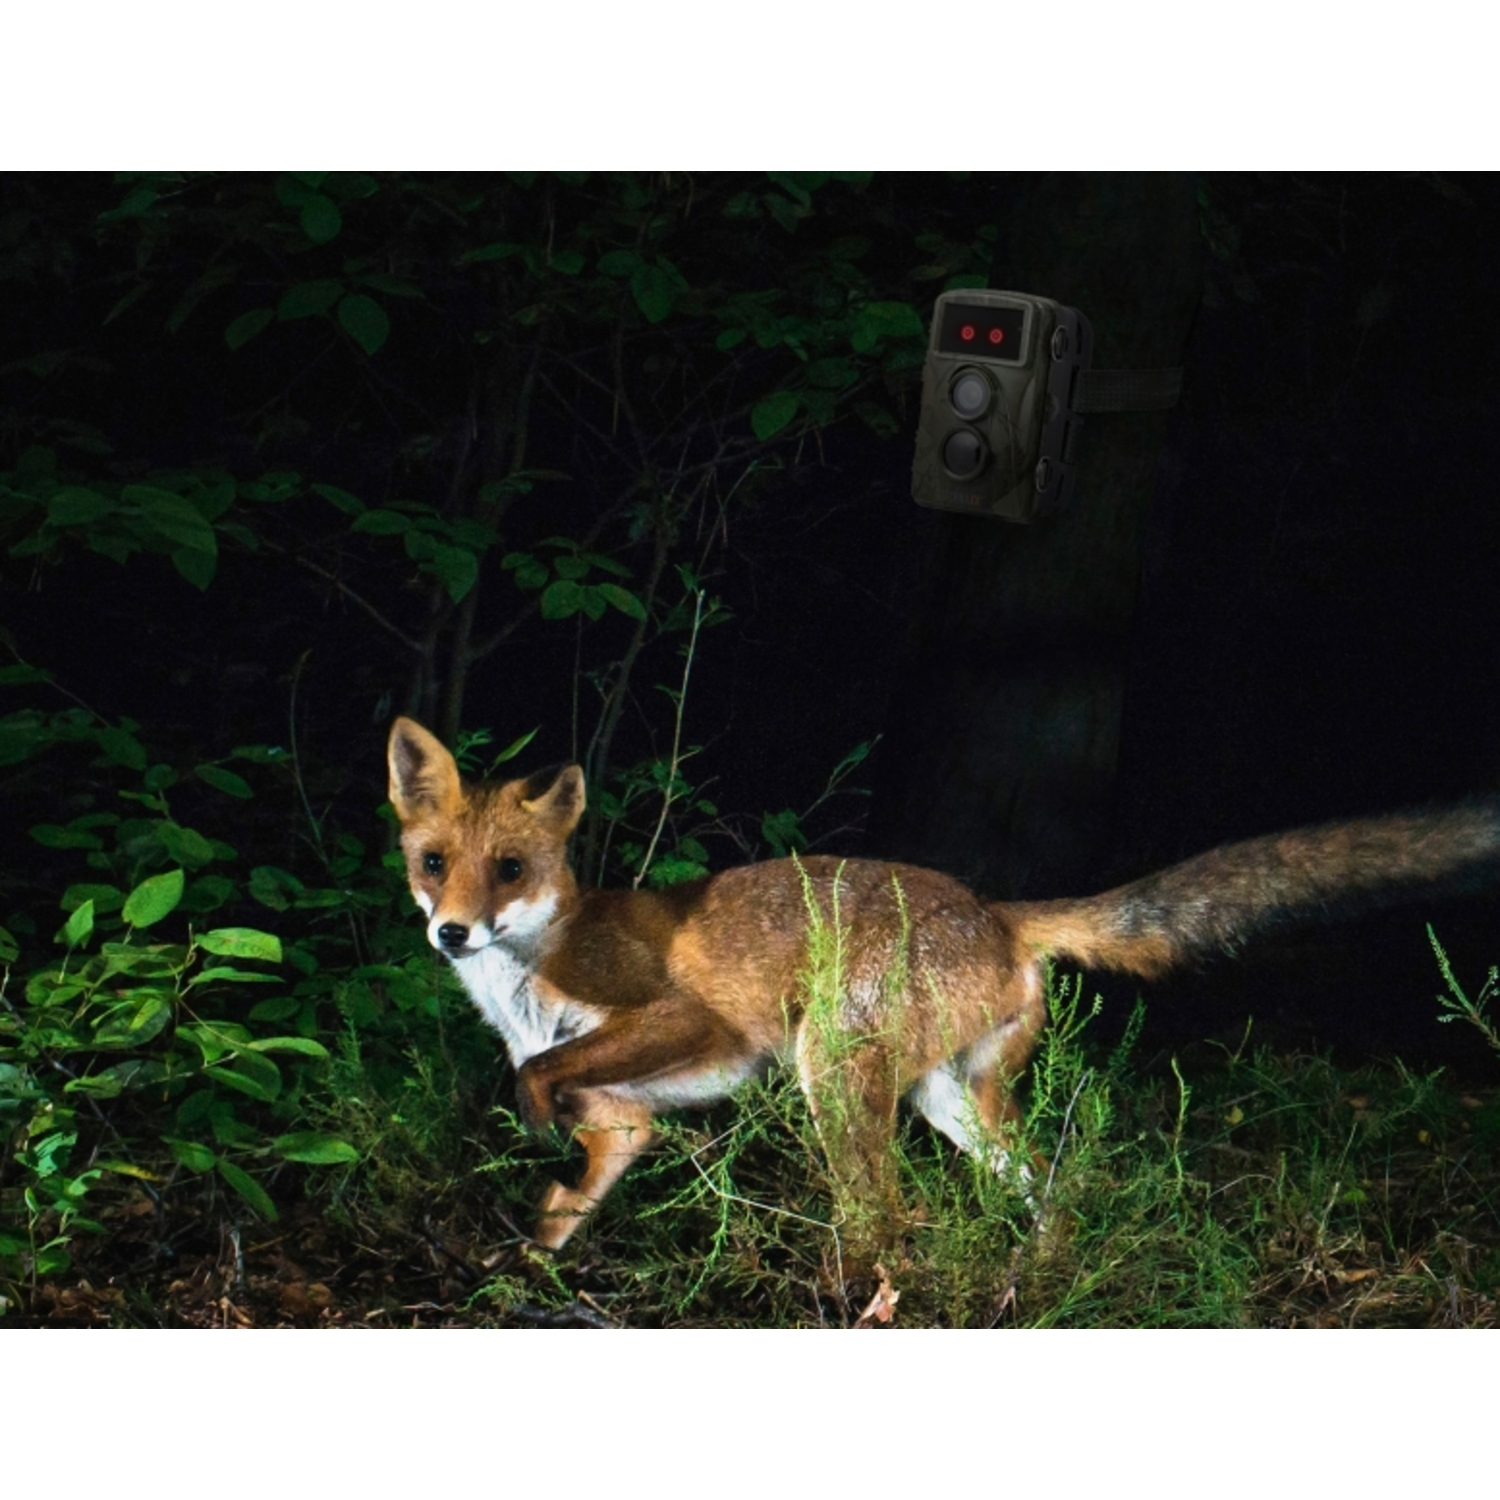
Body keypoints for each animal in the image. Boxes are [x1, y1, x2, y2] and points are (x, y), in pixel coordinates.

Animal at [387, 715, 1500, 1254]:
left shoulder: (686, 1018)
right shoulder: (624, 1124)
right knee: (1057, 1186)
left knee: (889, 1220)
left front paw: (528, 1116)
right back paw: (1036, 1282)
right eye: (435, 862)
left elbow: (540, 1078)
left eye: (511, 871)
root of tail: (997, 910)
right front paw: (515, 1280)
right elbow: (556, 1216)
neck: (529, 984)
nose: (451, 932)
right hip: (952, 1100)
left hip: (831, 1074)